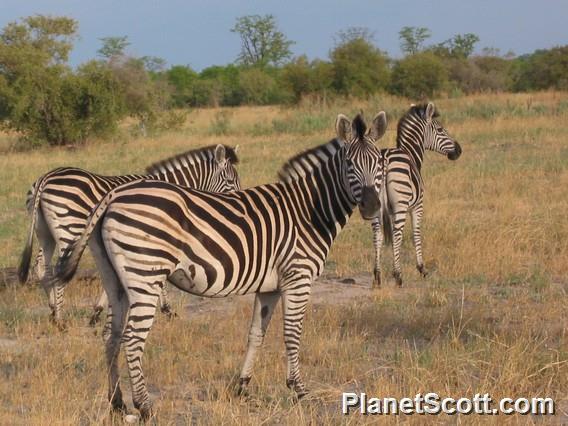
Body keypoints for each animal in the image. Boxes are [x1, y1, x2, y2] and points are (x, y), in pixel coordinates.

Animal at [17, 145, 240, 328]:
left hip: (45, 232)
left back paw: (53, 310)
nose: (236, 205)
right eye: (230, 181)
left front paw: (97, 312)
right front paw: (166, 309)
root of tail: (46, 177)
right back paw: (60, 320)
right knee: (57, 269)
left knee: (41, 267)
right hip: (69, 229)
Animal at [55, 110, 388, 420]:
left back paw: (116, 403)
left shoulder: (270, 287)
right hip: (145, 277)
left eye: (380, 165)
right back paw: (145, 406)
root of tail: (114, 194)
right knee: (133, 339)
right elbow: (292, 334)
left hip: (116, 280)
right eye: (349, 165)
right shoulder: (298, 278)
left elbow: (256, 334)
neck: (310, 210)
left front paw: (242, 386)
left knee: (110, 336)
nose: (372, 207)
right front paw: (299, 390)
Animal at [372, 103, 462, 290]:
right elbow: (416, 233)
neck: (411, 154)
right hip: (400, 206)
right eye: (441, 129)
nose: (459, 150)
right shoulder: (417, 206)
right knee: (397, 235)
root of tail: (384, 159)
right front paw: (422, 268)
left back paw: (377, 277)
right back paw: (398, 276)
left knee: (377, 235)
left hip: (374, 206)